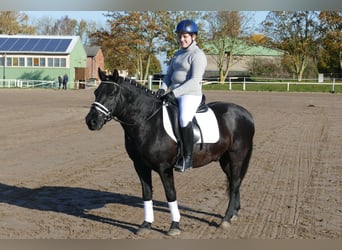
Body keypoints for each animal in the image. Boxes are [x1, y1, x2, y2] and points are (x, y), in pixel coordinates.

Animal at [87, 69, 255, 236]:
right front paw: (146, 225)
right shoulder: (140, 166)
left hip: (237, 156)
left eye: (112, 94)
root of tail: (246, 114)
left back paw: (226, 219)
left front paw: (174, 226)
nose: (91, 121)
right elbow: (147, 193)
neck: (147, 122)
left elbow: (170, 194)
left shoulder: (164, 168)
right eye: (95, 92)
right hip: (225, 160)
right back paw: (234, 214)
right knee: (234, 182)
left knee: (235, 183)